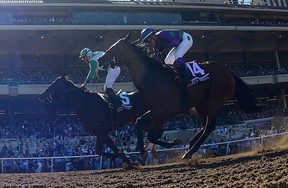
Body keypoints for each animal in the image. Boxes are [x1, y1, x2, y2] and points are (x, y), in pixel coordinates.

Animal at [97, 33, 260, 159]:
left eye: (117, 47)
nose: (100, 59)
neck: (151, 77)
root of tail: (228, 72)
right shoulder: (161, 114)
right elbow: (150, 133)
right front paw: (172, 143)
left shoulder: (163, 110)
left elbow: (139, 122)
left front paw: (142, 151)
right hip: (200, 104)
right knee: (207, 125)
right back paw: (191, 143)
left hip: (215, 100)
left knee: (209, 126)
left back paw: (189, 152)